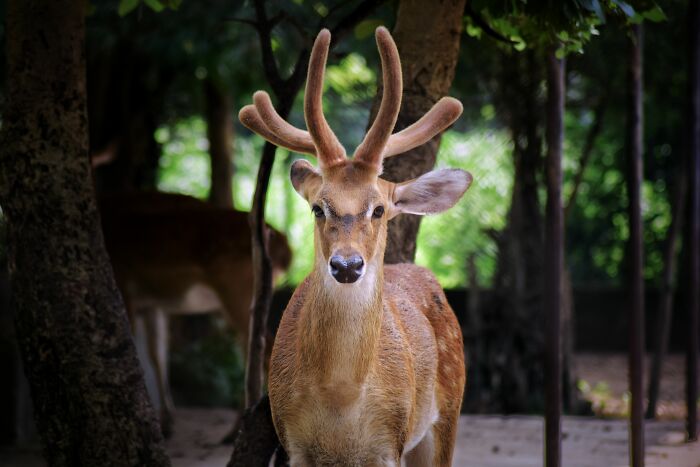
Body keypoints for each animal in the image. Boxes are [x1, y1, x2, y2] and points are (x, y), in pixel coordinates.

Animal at [98, 191, 291, 436]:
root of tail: (285, 249)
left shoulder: (125, 287)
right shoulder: (152, 303)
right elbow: (156, 353)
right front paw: (166, 423)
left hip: (238, 291)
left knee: (262, 350)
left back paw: (239, 430)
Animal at [239, 27, 471, 466]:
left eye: (378, 209)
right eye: (317, 208)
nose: (347, 265)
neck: (340, 402)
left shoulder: (389, 444)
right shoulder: (291, 441)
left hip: (449, 407)